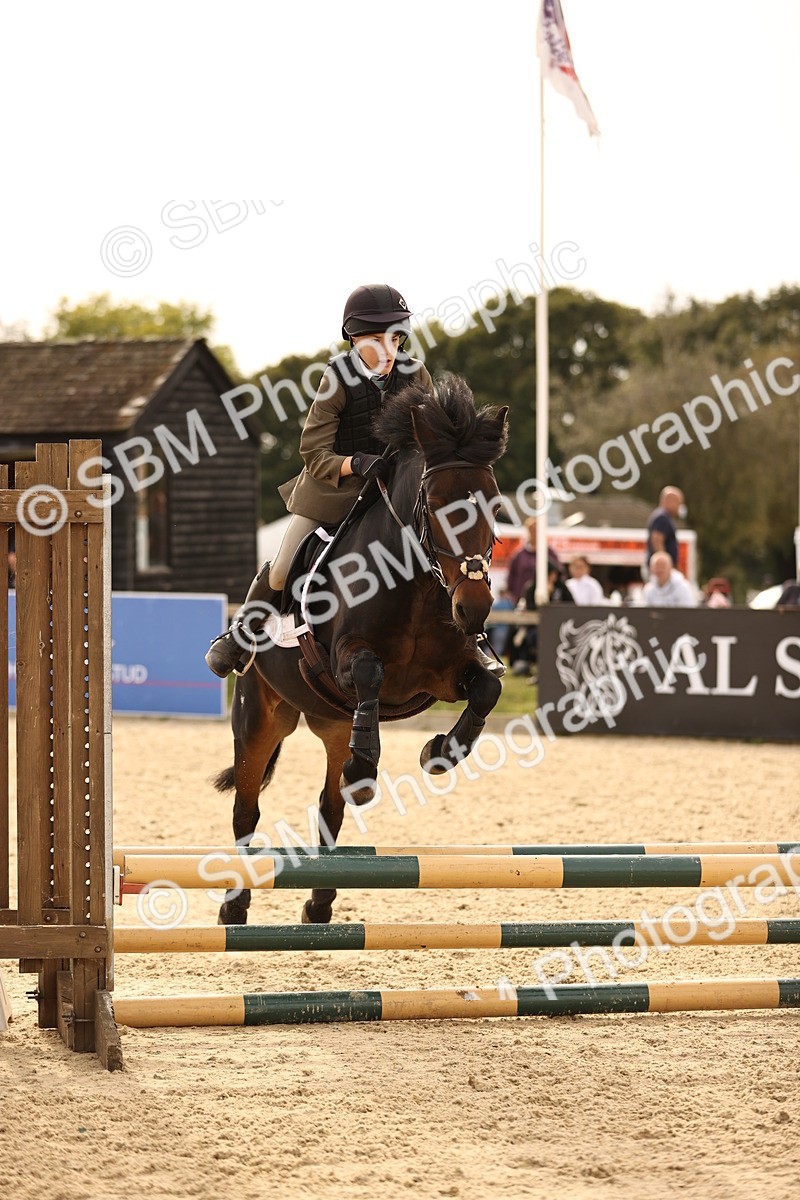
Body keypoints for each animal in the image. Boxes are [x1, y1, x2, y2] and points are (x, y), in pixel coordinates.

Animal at [214, 374, 509, 925]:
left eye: (496, 504)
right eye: (433, 502)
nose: (475, 608)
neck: (414, 584)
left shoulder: (446, 674)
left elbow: (486, 688)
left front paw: (440, 752)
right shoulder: (347, 659)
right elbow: (370, 670)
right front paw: (366, 768)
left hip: (331, 723)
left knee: (330, 808)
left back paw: (320, 902)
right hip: (259, 716)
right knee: (246, 810)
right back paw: (235, 904)